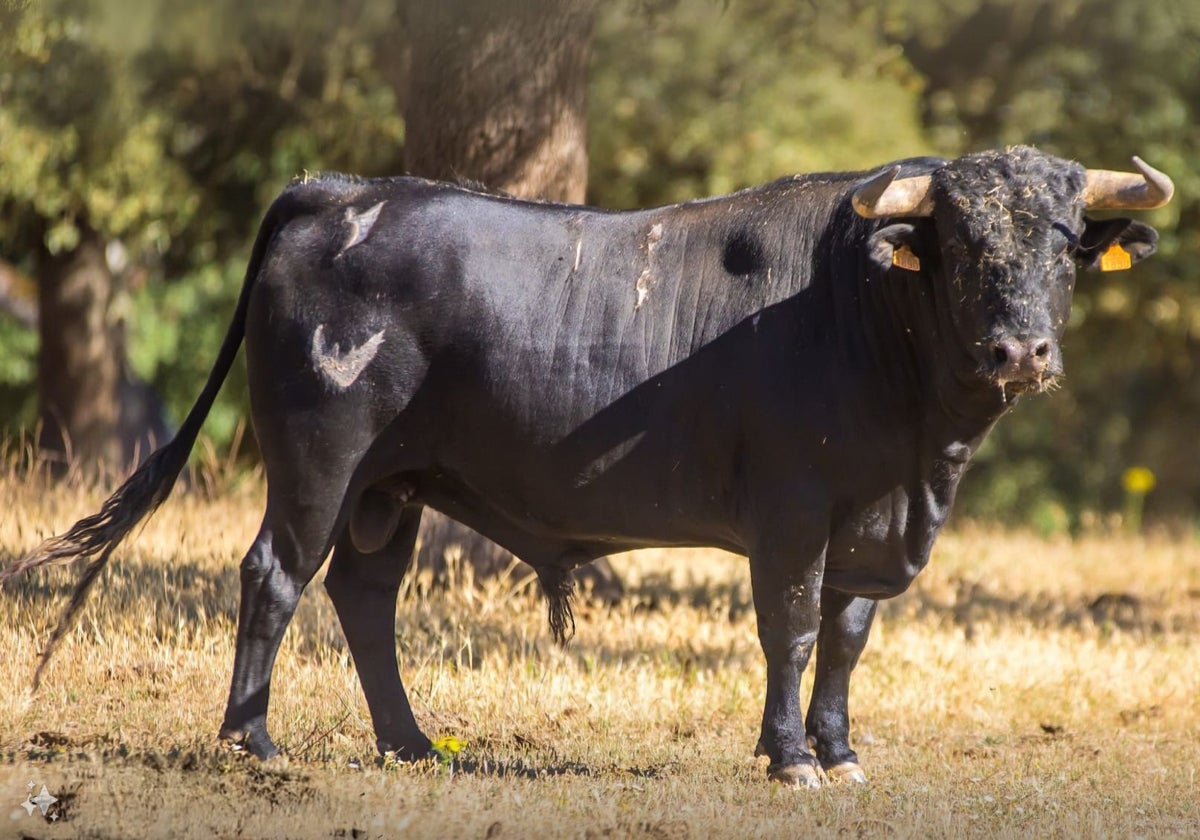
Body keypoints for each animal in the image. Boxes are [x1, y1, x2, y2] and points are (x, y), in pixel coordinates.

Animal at [4, 145, 1171, 787]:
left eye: (1063, 239)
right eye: (964, 242)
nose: (1020, 351)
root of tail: (342, 190)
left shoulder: (871, 523)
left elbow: (845, 640)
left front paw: (838, 752)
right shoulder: (794, 511)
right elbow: (792, 631)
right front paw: (791, 758)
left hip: (390, 487)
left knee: (365, 598)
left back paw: (410, 744)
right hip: (320, 463)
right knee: (275, 576)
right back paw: (253, 740)